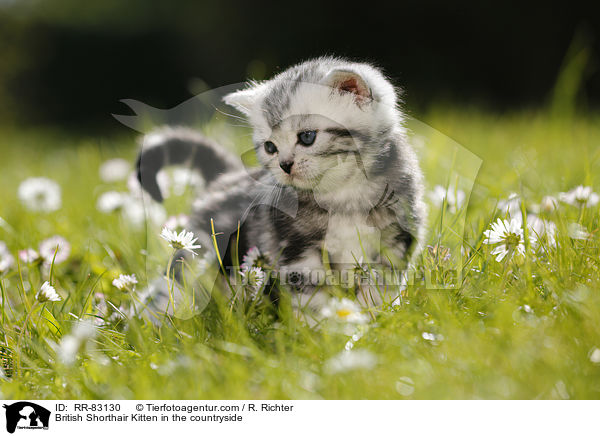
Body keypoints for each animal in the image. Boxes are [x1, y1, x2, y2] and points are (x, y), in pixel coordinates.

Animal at [136, 57, 426, 314]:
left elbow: (379, 288)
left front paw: (374, 320)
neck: (343, 195)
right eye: (270, 147)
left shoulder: (395, 240)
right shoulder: (296, 252)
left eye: (307, 137)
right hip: (200, 256)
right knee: (172, 290)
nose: (285, 165)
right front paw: (323, 332)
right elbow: (312, 299)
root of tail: (225, 177)